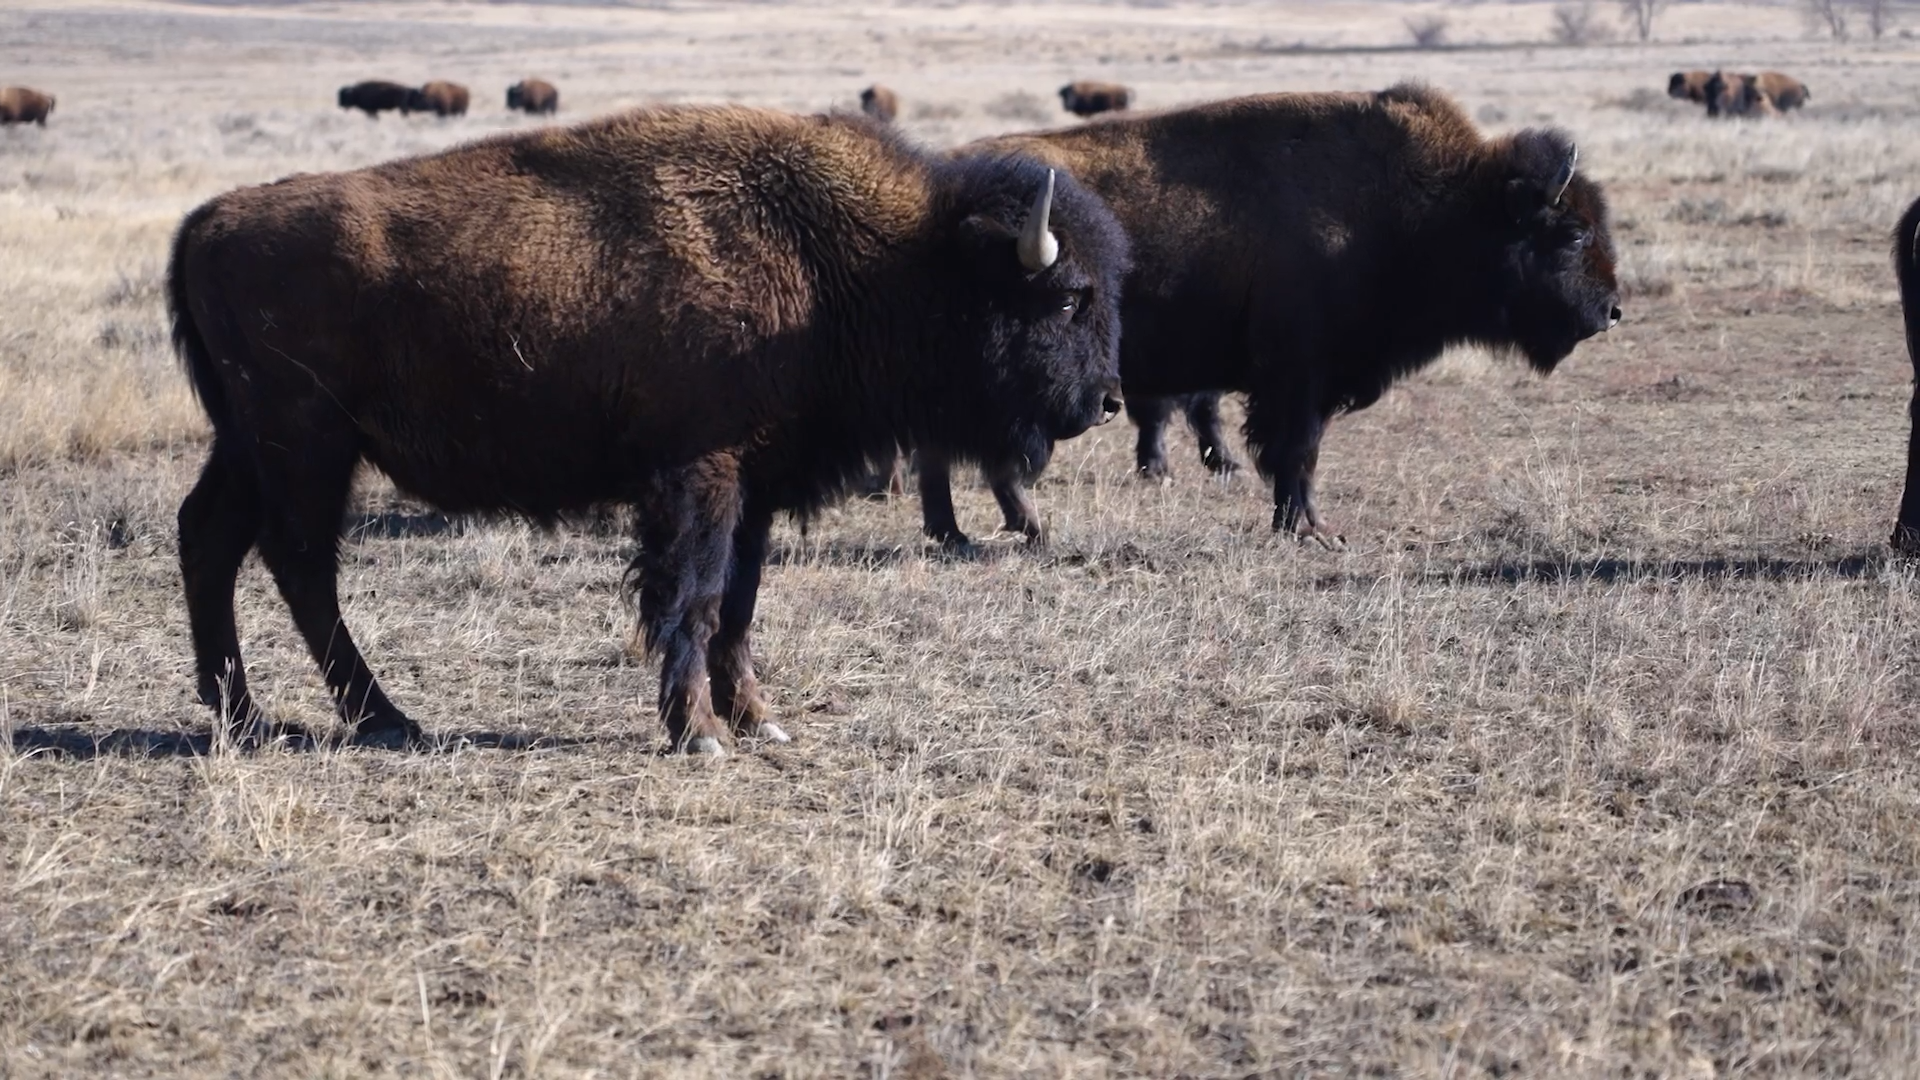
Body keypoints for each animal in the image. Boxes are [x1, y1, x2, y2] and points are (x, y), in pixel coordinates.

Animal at [167, 106, 1128, 755]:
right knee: (300, 566)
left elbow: (739, 601)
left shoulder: (755, 485)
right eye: (1067, 297)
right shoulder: (698, 475)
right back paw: (383, 718)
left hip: (249, 447)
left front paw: (758, 721)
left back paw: (244, 715)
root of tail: (207, 222)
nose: (1108, 400)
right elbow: (693, 597)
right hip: (307, 447)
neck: (850, 256)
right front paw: (699, 732)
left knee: (209, 538)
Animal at [916, 84, 1620, 546]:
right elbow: (1296, 452)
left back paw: (982, 530)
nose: (1612, 311)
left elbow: (1293, 453)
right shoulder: (1299, 377)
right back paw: (984, 531)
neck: (1429, 206)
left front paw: (1301, 525)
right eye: (1573, 234)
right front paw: (1313, 531)